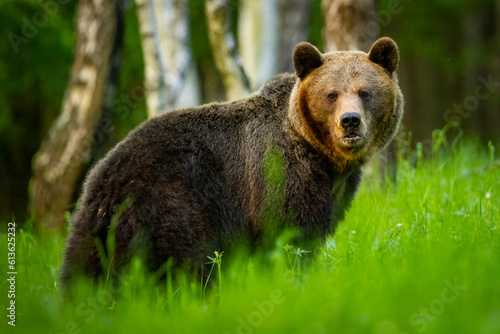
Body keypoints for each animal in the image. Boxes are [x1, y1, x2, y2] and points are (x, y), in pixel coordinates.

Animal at [60, 37, 404, 288]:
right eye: (332, 94)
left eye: (364, 92)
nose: (350, 121)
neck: (321, 153)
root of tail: (108, 176)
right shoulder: (281, 175)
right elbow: (291, 236)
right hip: (174, 202)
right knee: (186, 261)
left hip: (99, 224)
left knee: (84, 267)